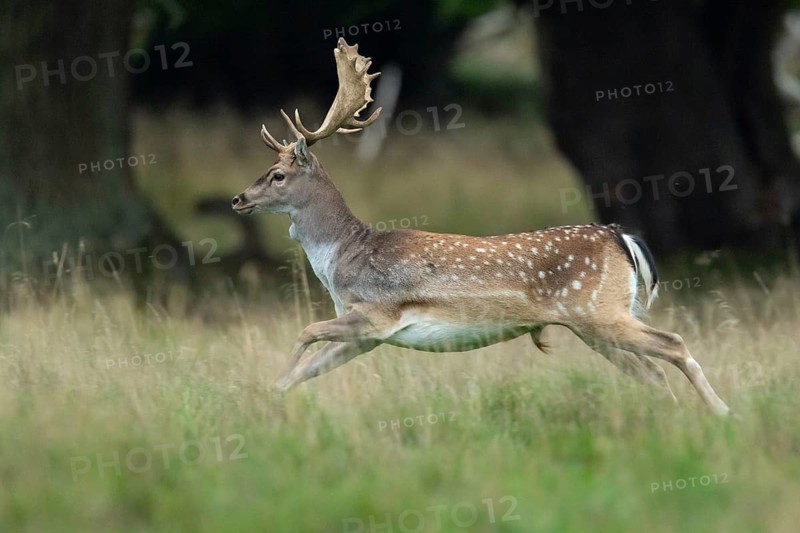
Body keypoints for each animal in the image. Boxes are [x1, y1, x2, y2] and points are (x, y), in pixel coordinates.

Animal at [231, 38, 730, 416]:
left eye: (278, 175)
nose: (238, 199)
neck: (340, 259)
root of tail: (620, 237)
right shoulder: (370, 335)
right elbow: (309, 369)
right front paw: (269, 401)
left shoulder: (376, 312)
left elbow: (305, 333)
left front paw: (262, 394)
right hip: (592, 324)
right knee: (652, 371)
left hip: (598, 312)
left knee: (673, 344)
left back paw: (722, 412)